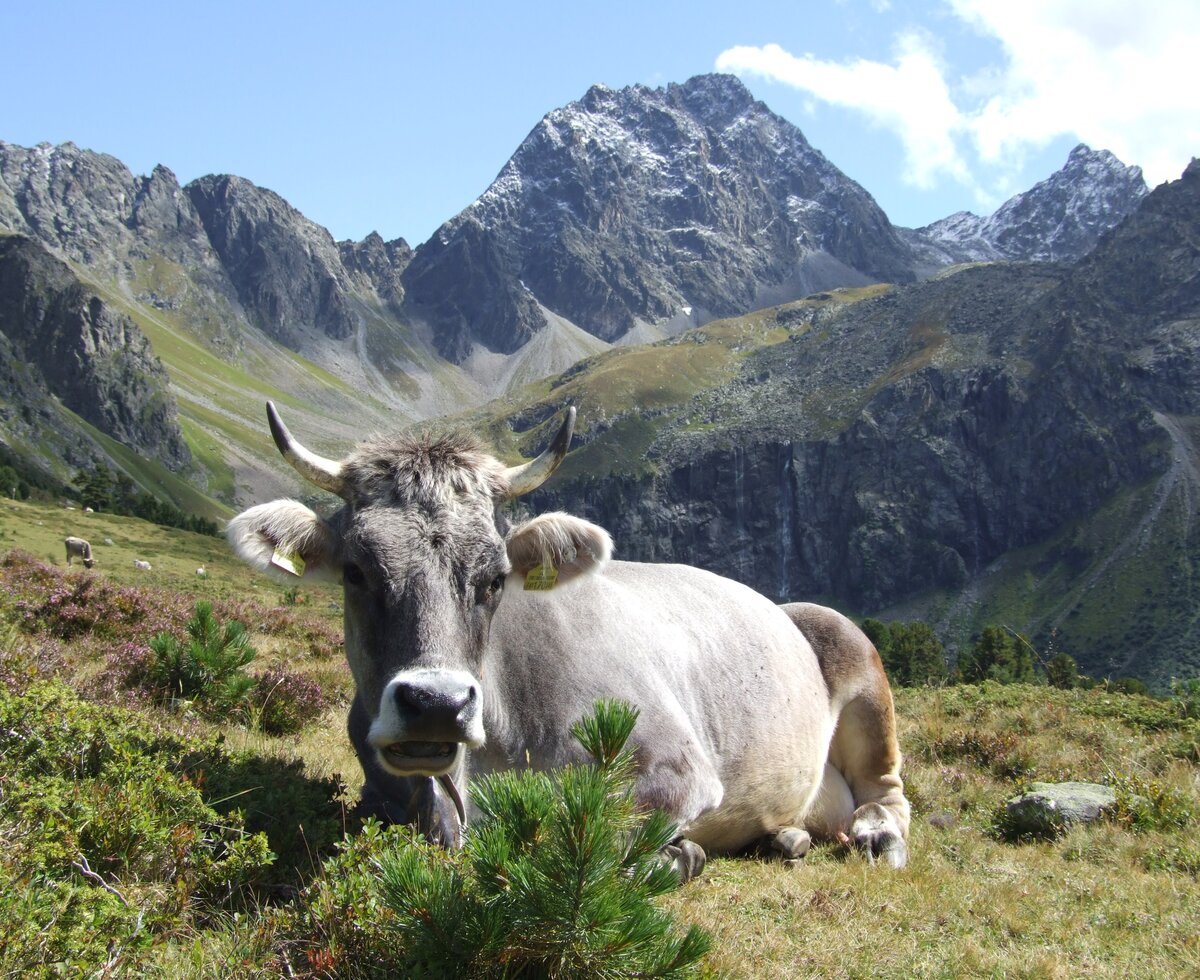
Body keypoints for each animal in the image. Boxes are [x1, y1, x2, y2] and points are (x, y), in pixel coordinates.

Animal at [225, 400, 907, 873]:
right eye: (356, 571)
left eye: (495, 577)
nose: (436, 704)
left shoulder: (676, 767)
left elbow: (578, 832)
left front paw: (679, 854)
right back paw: (786, 834)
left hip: (855, 655)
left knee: (886, 790)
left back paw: (878, 836)